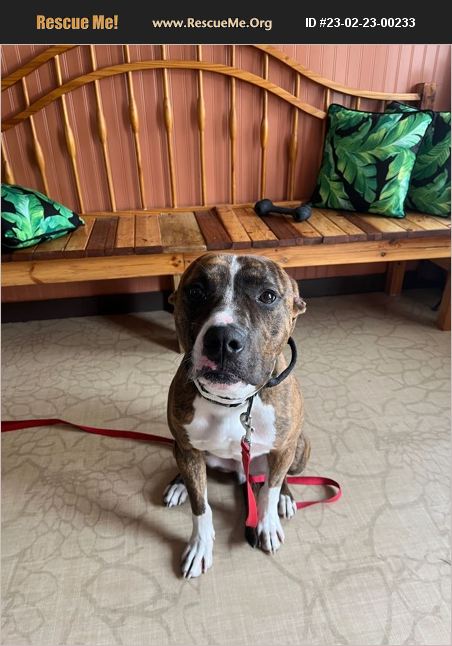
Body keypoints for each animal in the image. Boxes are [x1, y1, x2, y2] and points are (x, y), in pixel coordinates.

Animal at [164, 253, 310, 578]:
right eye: (195, 291)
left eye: (268, 296)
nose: (222, 340)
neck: (234, 402)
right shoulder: (187, 446)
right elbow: (201, 505)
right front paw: (200, 546)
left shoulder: (284, 447)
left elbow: (269, 491)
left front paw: (267, 524)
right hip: (184, 450)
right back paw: (178, 484)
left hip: (300, 447)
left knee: (280, 477)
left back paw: (286, 497)